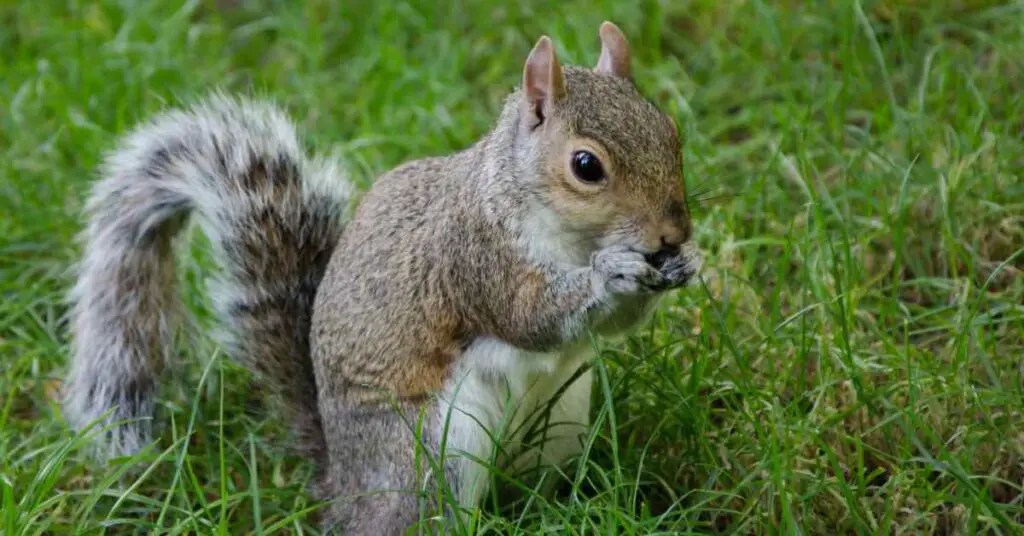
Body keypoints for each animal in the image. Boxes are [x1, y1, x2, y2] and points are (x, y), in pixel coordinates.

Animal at [63, 21, 703, 535]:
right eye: (586, 165)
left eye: (671, 131)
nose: (672, 233)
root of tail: (344, 490)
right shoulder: (474, 258)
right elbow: (531, 317)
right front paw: (612, 272)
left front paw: (688, 262)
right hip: (433, 455)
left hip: (560, 426)